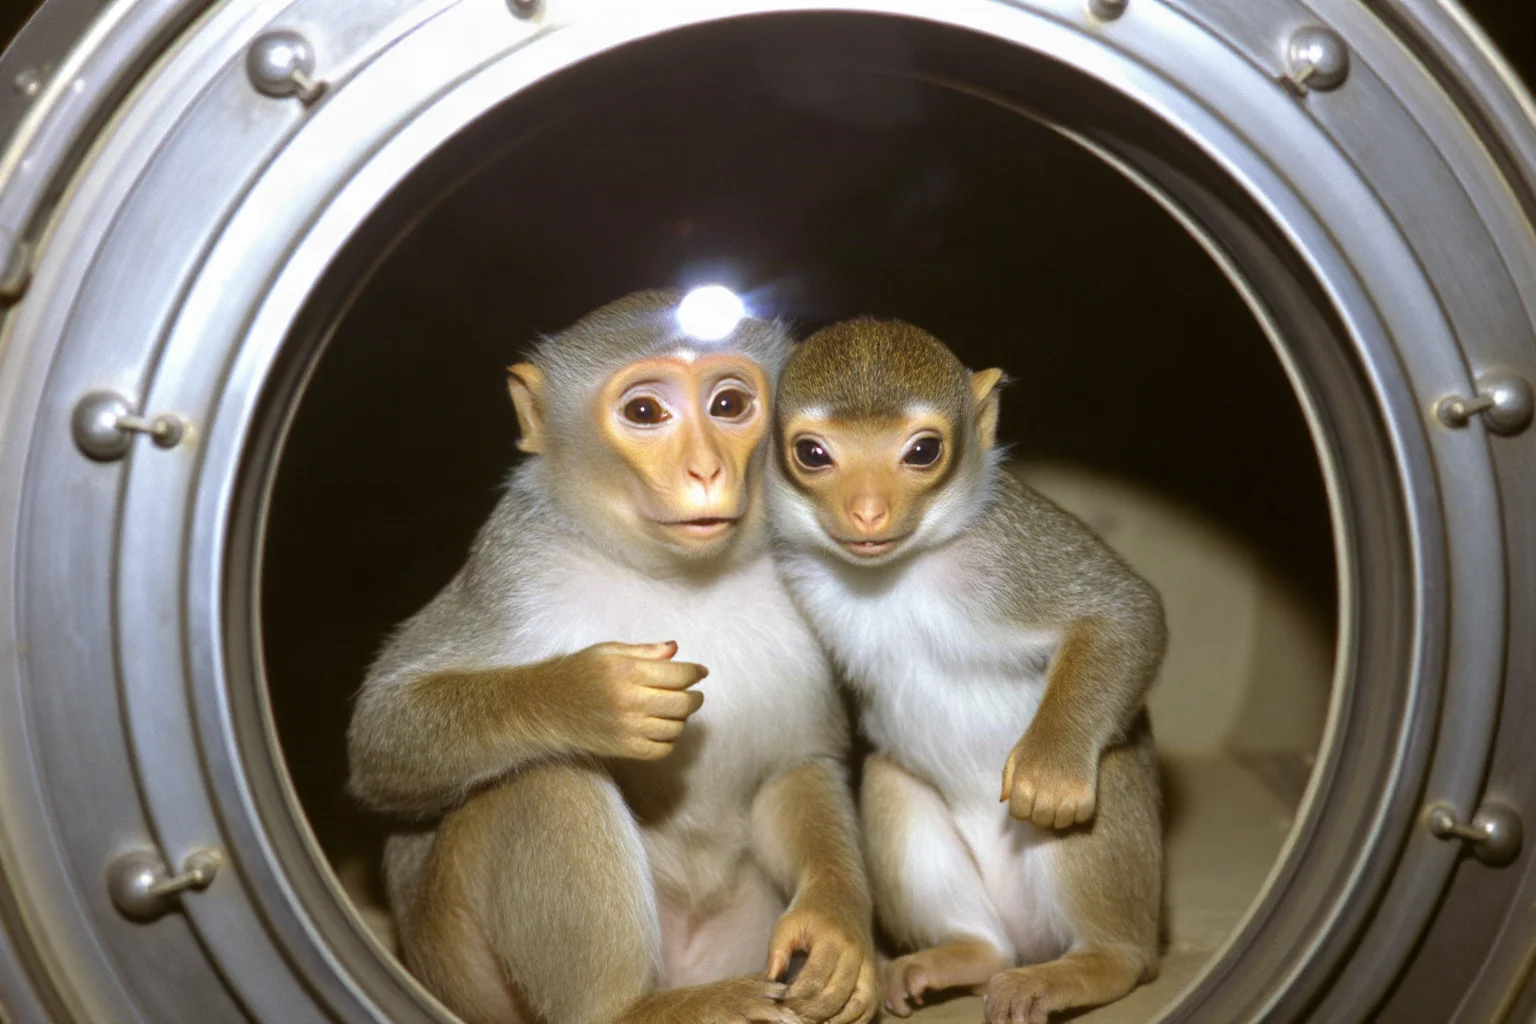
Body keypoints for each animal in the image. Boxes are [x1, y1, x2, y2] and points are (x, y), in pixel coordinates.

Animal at [346, 291, 879, 1024]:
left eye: (729, 405)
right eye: (646, 413)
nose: (707, 470)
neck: (677, 578)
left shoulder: (807, 596)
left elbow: (795, 764)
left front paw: (835, 927)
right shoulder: (515, 570)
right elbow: (382, 735)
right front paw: (590, 696)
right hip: (458, 964)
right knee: (544, 775)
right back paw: (631, 1007)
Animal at [766, 318, 1165, 1024]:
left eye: (923, 451)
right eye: (813, 454)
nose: (867, 510)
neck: (899, 573)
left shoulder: (1010, 551)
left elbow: (1124, 613)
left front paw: (1051, 767)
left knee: (1110, 773)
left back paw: (1102, 961)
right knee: (890, 780)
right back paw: (968, 953)